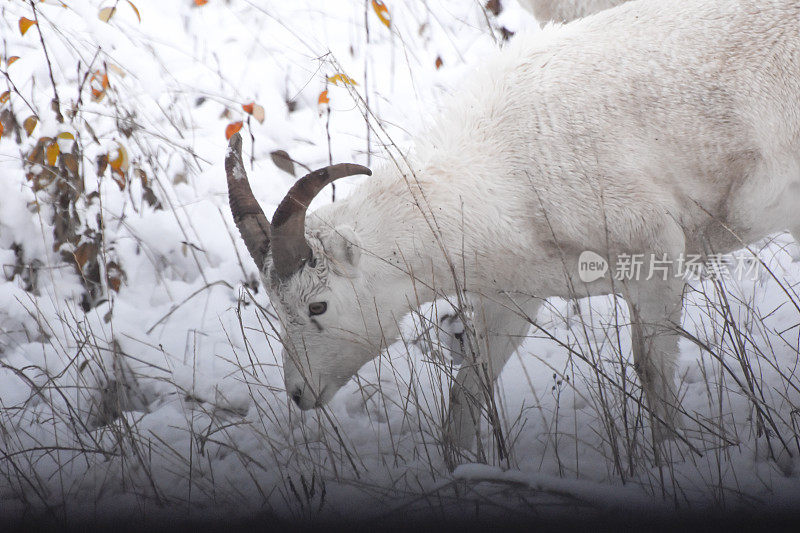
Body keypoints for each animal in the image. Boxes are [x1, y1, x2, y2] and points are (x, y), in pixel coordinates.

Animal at [225, 0, 800, 458]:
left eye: (317, 306)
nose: (299, 394)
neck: (506, 170)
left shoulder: (655, 263)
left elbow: (653, 372)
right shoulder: (510, 302)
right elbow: (468, 386)